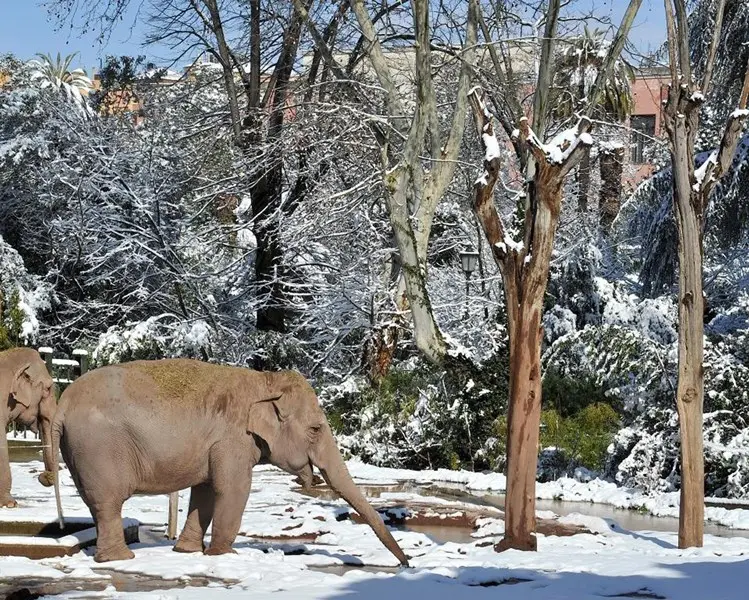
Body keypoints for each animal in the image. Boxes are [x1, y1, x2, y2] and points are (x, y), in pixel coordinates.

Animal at [46, 358, 410, 564]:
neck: (265, 380)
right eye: (316, 429)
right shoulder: (233, 439)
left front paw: (188, 553)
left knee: (97, 504)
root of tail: (62, 405)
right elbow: (233, 489)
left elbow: (206, 492)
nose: (405, 565)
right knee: (109, 502)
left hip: (81, 452)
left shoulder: (214, 446)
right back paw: (121, 559)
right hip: (99, 449)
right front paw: (226, 555)